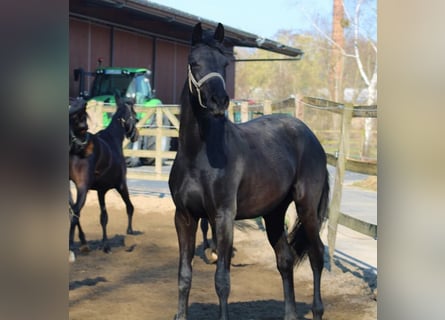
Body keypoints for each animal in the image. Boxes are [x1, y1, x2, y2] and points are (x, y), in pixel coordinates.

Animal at [69, 94, 139, 254]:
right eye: (135, 115)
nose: (136, 136)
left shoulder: (101, 190)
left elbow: (103, 217)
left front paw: (105, 244)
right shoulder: (121, 185)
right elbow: (129, 207)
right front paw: (130, 231)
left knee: (74, 211)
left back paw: (83, 242)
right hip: (83, 188)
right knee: (75, 213)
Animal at [168, 23, 328, 320]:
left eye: (225, 63)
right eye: (194, 63)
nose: (219, 101)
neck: (199, 155)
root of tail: (310, 136)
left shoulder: (223, 217)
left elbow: (222, 280)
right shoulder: (184, 217)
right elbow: (184, 276)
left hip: (307, 208)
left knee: (316, 254)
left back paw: (317, 310)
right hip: (274, 213)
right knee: (285, 259)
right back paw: (290, 313)